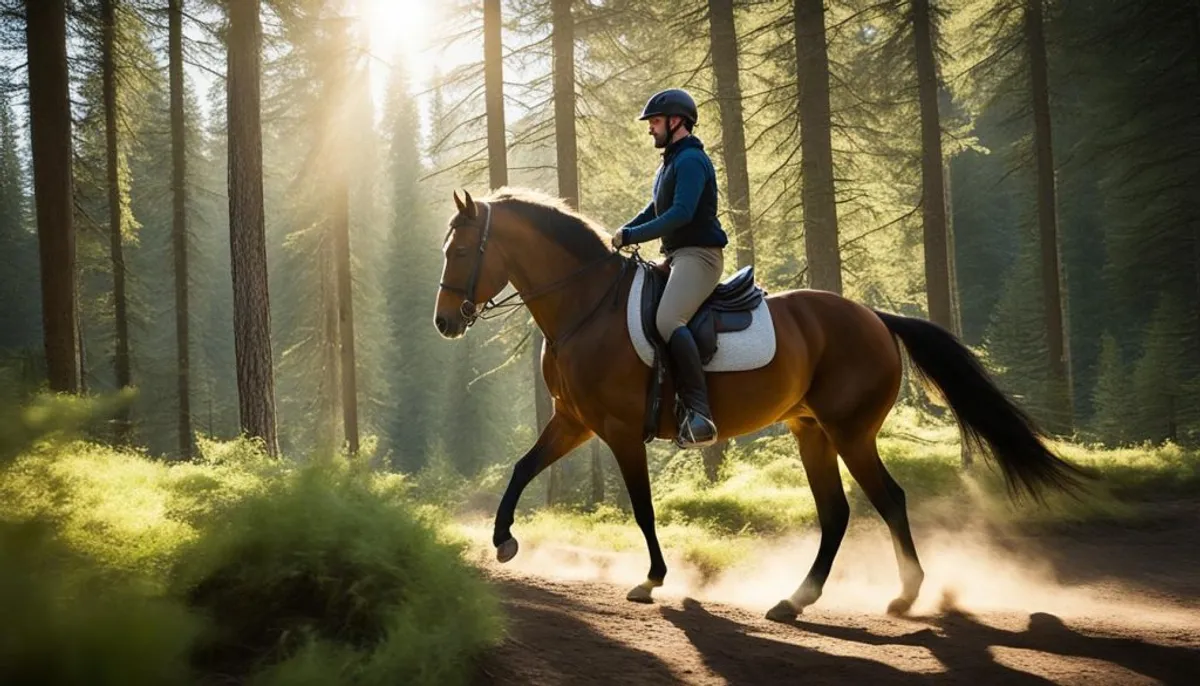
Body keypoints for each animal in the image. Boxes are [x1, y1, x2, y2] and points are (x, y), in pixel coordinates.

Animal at [434, 184, 1089, 618]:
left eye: (461, 252)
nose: (445, 323)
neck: (585, 307)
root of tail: (874, 317)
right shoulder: (574, 422)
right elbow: (521, 468)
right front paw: (504, 541)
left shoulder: (617, 429)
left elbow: (642, 509)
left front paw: (652, 579)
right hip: (812, 431)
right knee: (837, 512)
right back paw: (796, 599)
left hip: (850, 431)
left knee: (888, 500)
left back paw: (904, 595)